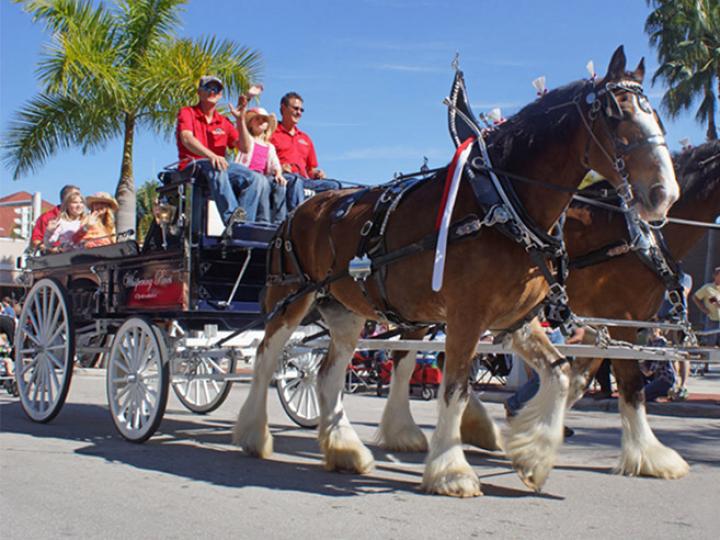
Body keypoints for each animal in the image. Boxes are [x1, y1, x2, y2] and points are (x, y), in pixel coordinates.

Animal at [233, 46, 678, 497]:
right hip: (291, 298)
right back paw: (254, 435)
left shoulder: (515, 320)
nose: (664, 194)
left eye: (657, 117)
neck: (502, 205)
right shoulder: (467, 315)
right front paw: (451, 470)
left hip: (346, 310)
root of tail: (300, 209)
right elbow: (456, 388)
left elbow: (561, 374)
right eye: (617, 115)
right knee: (266, 357)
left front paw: (532, 457)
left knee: (328, 374)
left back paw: (344, 450)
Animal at [378, 141, 720, 487]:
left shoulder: (600, 326)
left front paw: (533, 432)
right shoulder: (618, 318)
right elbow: (632, 384)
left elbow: (579, 379)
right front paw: (649, 454)